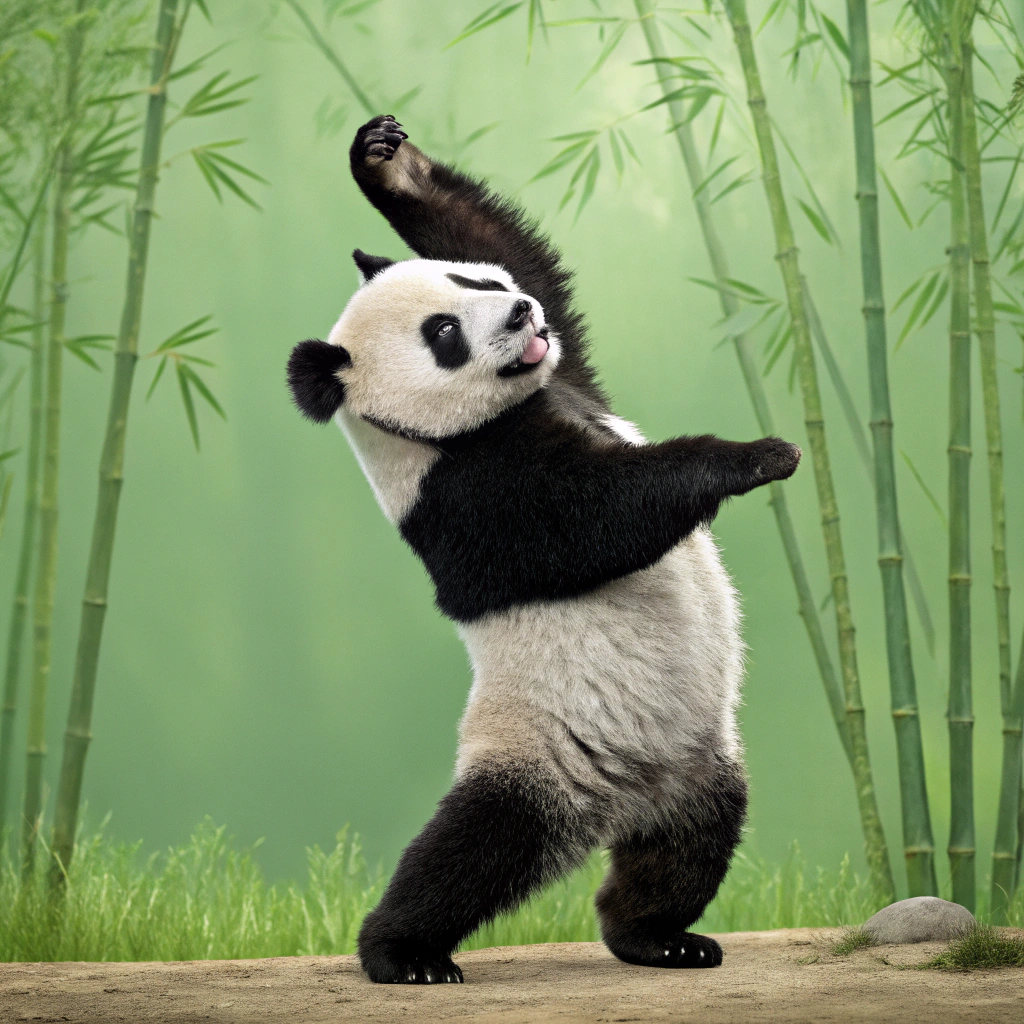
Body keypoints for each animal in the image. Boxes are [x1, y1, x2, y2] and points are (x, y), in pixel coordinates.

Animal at [287, 115, 801, 985]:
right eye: (444, 334)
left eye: (474, 283)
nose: (520, 314)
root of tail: (617, 801)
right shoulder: (464, 490)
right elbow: (594, 517)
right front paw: (755, 456)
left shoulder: (569, 375)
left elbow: (516, 247)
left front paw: (383, 160)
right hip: (533, 750)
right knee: (476, 846)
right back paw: (402, 952)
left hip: (701, 760)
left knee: (689, 845)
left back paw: (656, 935)